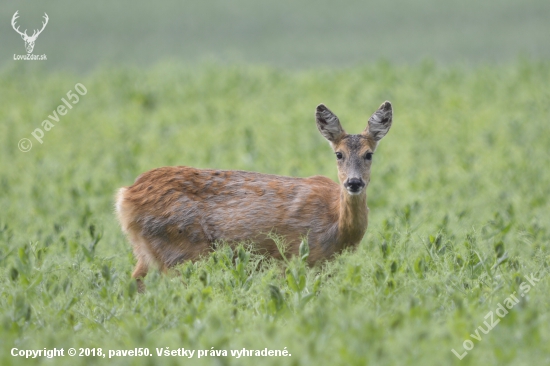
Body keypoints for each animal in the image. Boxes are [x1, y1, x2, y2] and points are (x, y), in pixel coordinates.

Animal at [115, 101, 392, 290]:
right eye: (338, 154)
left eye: (369, 154)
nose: (353, 182)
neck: (337, 225)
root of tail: (124, 196)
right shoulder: (296, 258)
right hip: (182, 251)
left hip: (149, 251)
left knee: (133, 282)